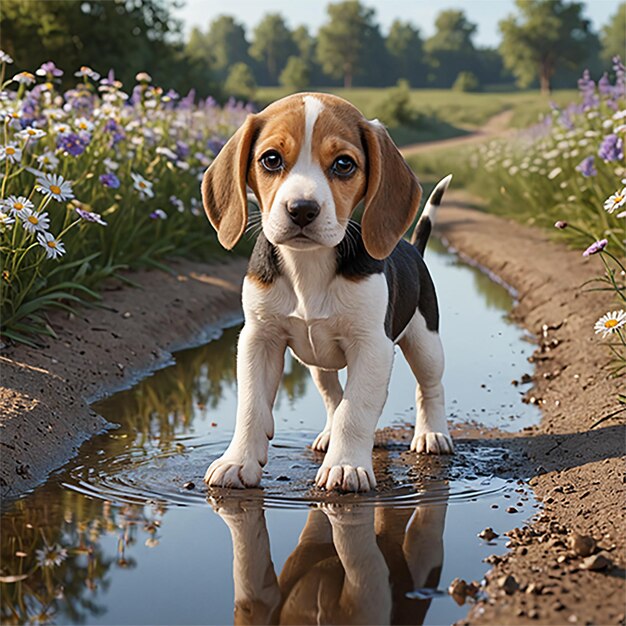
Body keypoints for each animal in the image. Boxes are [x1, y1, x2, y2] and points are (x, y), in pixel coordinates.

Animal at [202, 92, 450, 492]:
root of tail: (412, 248)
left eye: (344, 164)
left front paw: (345, 466)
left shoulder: (372, 346)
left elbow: (356, 409)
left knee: (429, 386)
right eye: (271, 159)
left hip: (425, 340)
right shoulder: (259, 338)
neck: (309, 265)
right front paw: (237, 461)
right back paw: (330, 434)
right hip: (318, 362)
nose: (302, 209)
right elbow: (252, 405)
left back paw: (432, 434)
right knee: (333, 394)